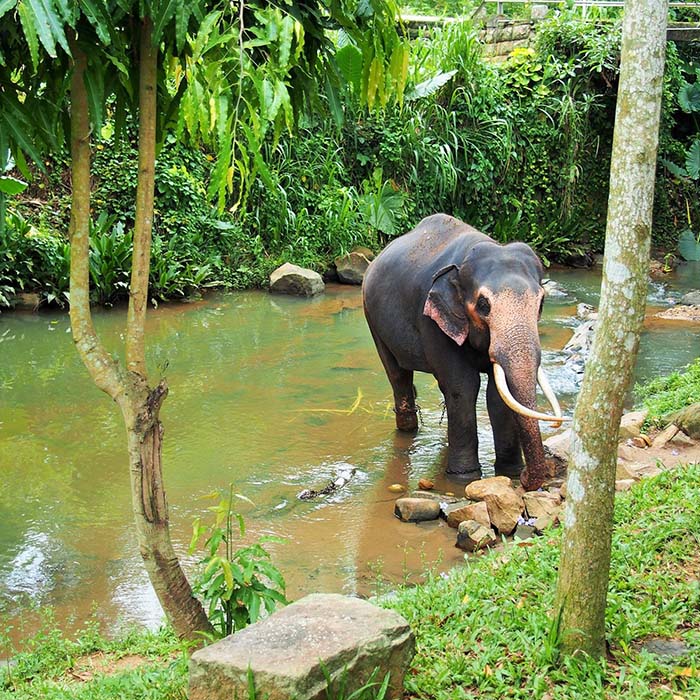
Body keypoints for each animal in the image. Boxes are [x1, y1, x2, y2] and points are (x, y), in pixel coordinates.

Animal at [360, 213, 564, 492]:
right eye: (483, 304)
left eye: (541, 302)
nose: (523, 479)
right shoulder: (432, 320)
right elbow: (464, 385)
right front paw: (464, 476)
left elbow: (497, 395)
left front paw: (509, 471)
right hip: (372, 318)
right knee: (398, 375)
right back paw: (408, 431)